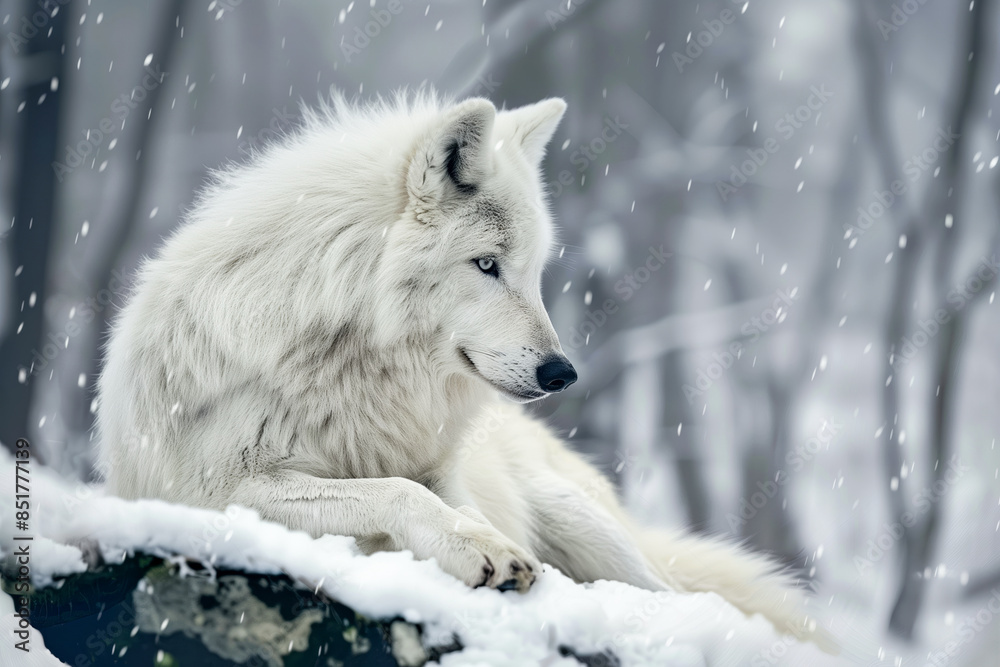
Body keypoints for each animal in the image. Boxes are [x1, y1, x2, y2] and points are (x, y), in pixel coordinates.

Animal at [97, 92, 833, 651]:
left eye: (534, 270)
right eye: (486, 264)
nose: (563, 372)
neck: (352, 356)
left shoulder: (442, 471)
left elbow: (439, 498)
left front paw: (487, 546)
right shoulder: (215, 489)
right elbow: (395, 491)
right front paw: (481, 550)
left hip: (587, 524)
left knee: (676, 595)